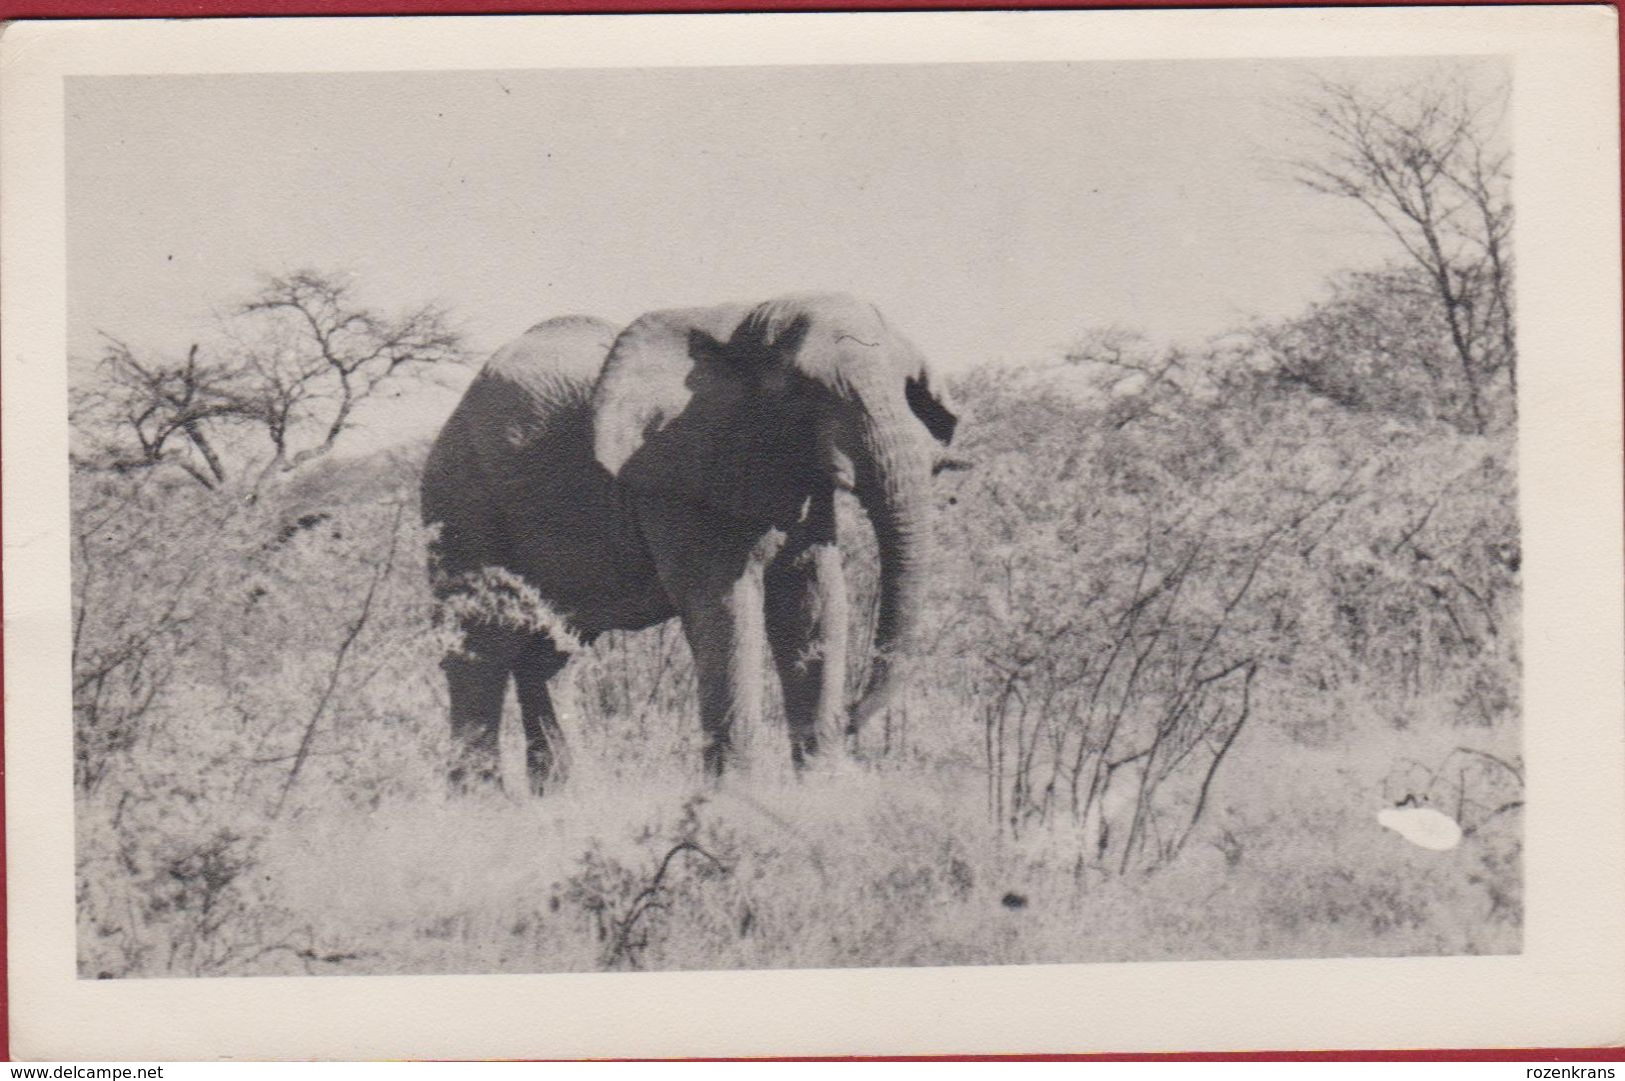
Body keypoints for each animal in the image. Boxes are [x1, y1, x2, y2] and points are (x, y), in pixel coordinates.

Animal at [419, 292, 955, 793]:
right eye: (808, 391)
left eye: (908, 387)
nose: (852, 718)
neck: (748, 323)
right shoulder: (672, 478)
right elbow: (725, 606)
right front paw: (736, 795)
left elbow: (815, 604)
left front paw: (823, 789)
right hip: (462, 502)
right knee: (481, 649)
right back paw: (483, 803)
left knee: (550, 653)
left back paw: (563, 799)